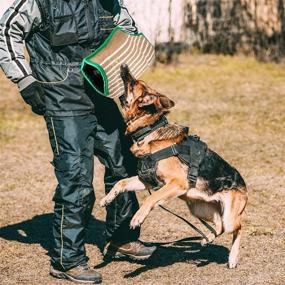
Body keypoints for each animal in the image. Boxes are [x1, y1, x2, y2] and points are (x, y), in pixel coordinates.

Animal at [100, 63, 246, 266]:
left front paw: (138, 217)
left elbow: (151, 199)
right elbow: (121, 183)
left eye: (133, 82)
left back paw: (232, 258)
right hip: (198, 208)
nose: (124, 66)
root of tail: (244, 185)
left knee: (238, 227)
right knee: (219, 226)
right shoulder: (146, 180)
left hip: (229, 216)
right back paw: (206, 238)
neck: (149, 131)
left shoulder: (176, 183)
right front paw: (107, 199)